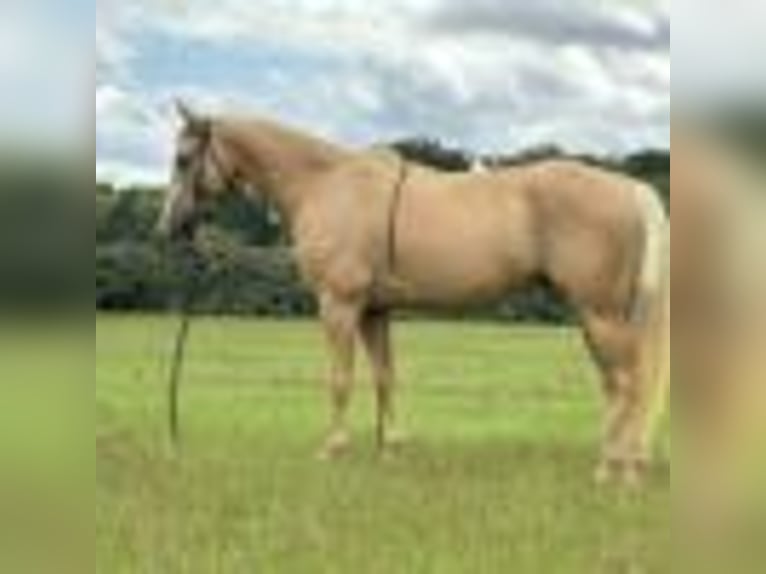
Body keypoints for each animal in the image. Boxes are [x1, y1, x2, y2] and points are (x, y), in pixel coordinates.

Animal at [157, 102, 670, 484]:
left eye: (183, 158)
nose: (167, 228)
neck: (326, 182)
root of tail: (629, 188)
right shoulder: (374, 312)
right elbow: (385, 377)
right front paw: (391, 448)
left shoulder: (338, 305)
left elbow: (340, 379)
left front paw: (333, 448)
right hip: (595, 317)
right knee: (616, 385)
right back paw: (616, 461)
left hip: (600, 314)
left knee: (629, 383)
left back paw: (613, 468)